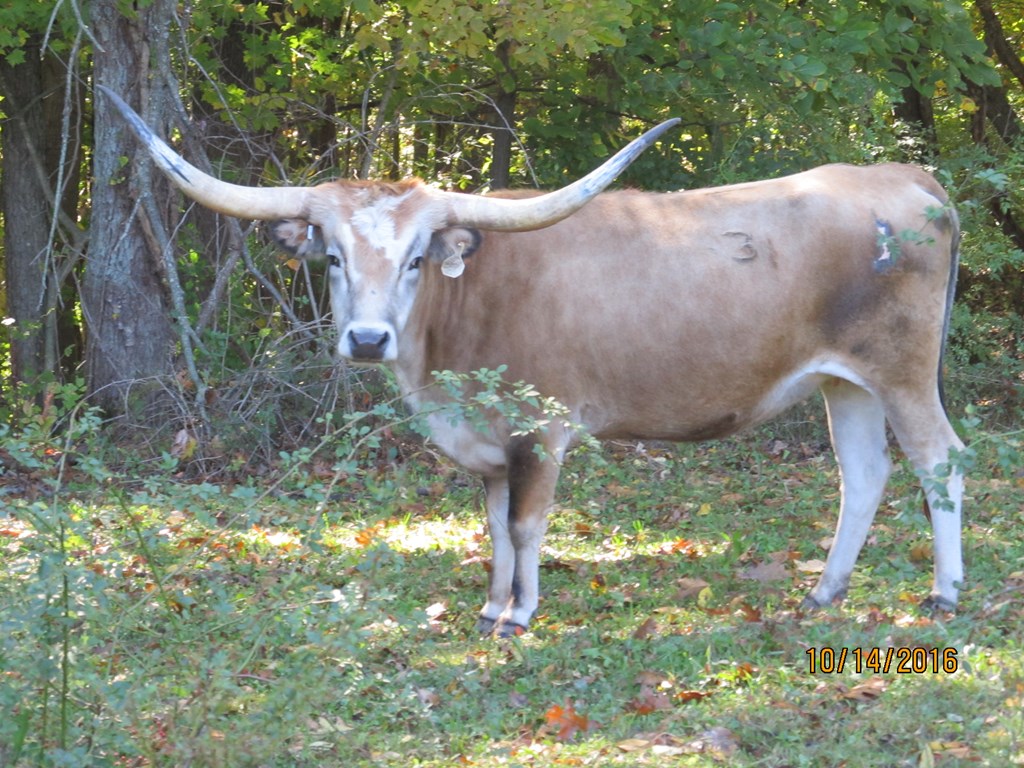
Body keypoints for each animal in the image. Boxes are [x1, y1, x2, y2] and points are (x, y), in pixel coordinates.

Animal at [100, 86, 965, 637]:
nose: (369, 340)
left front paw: (519, 613)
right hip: (843, 382)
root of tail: (905, 176)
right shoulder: (485, 445)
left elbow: (525, 523)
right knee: (864, 474)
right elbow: (490, 523)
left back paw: (945, 594)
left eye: (416, 259)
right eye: (335, 257)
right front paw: (490, 606)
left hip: (902, 372)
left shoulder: (539, 431)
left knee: (940, 463)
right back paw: (825, 593)